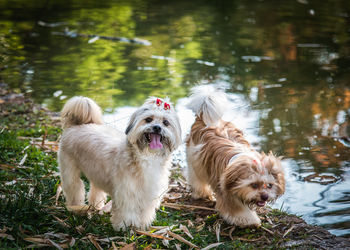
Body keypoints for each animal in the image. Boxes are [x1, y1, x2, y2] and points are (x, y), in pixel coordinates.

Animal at [57, 95, 182, 230]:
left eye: (166, 123)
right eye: (148, 119)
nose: (157, 127)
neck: (147, 157)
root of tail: (75, 126)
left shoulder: (149, 194)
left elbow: (145, 211)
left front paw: (141, 226)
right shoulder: (126, 194)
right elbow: (126, 212)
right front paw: (124, 228)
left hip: (96, 172)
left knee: (95, 190)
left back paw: (96, 206)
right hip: (69, 170)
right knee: (74, 187)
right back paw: (75, 208)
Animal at [186, 86, 284, 227]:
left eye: (270, 185)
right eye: (254, 185)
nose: (265, 197)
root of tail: (203, 118)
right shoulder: (227, 192)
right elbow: (237, 210)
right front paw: (250, 220)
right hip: (195, 160)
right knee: (197, 178)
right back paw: (201, 192)